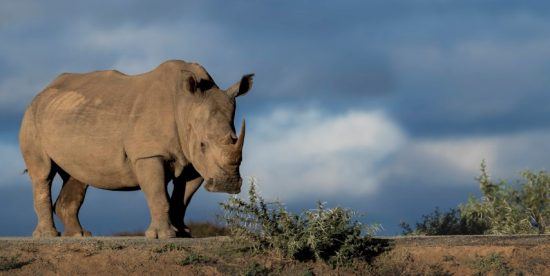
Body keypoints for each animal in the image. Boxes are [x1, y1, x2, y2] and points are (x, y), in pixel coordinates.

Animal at [18, 59, 256, 237]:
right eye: (203, 144)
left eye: (236, 139)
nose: (227, 184)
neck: (185, 105)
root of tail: (43, 91)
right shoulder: (149, 154)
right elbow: (158, 194)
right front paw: (163, 236)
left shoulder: (194, 162)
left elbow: (182, 199)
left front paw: (183, 233)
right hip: (31, 117)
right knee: (43, 173)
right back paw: (48, 236)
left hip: (69, 115)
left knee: (77, 175)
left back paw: (79, 235)